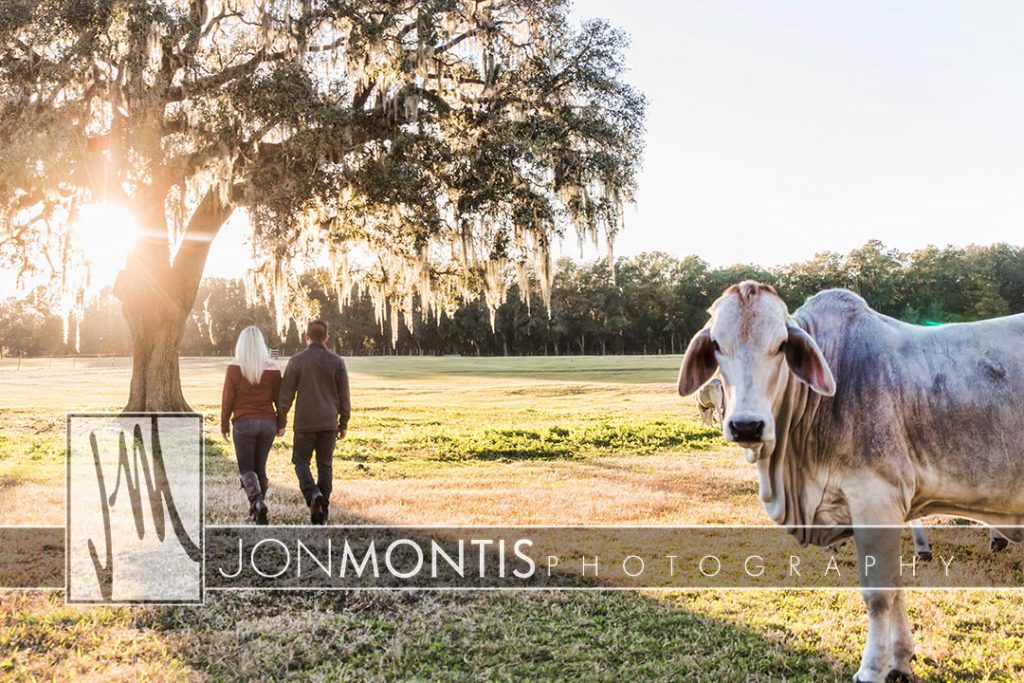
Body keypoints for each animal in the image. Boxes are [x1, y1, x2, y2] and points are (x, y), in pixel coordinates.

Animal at [679, 280, 1024, 683]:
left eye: (781, 344)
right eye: (717, 344)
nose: (746, 425)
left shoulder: (875, 499)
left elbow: (878, 593)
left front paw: (871, 669)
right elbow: (896, 584)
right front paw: (900, 661)